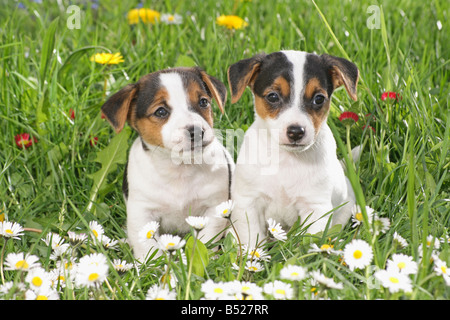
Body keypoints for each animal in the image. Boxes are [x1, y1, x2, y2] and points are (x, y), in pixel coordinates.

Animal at [101, 66, 234, 262]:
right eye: (161, 112)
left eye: (203, 102)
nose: (196, 130)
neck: (180, 168)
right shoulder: (142, 213)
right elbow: (147, 247)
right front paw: (153, 266)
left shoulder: (214, 207)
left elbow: (205, 240)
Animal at [229, 50, 358, 246]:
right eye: (273, 96)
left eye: (319, 99)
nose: (296, 132)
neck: (286, 159)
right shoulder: (248, 202)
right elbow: (252, 239)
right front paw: (251, 253)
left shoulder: (316, 208)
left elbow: (309, 243)